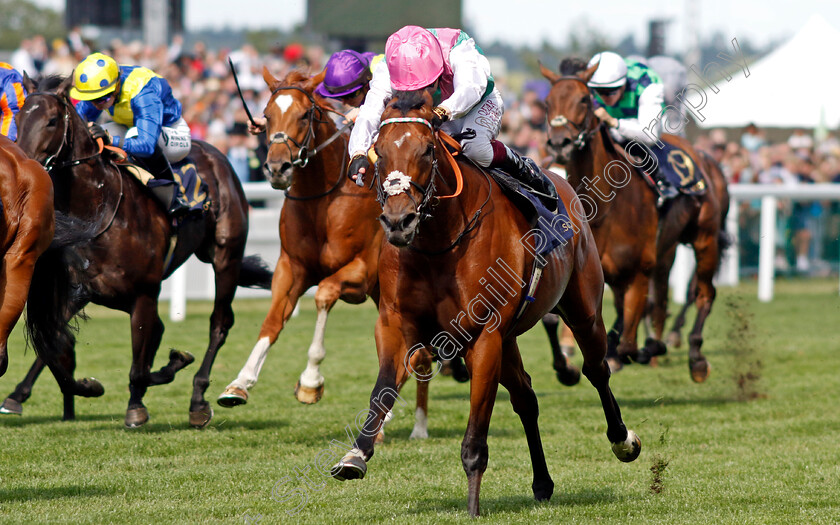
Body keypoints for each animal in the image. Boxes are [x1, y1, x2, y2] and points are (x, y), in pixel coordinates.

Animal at [2, 73, 272, 426]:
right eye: (18, 118)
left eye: (50, 121)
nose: (25, 166)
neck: (100, 210)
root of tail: (217, 155)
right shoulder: (77, 292)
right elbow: (55, 352)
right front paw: (77, 388)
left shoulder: (144, 293)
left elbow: (139, 364)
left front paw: (141, 400)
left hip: (225, 257)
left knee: (219, 323)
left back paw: (199, 400)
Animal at [213, 67, 436, 438]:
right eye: (267, 114)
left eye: (305, 115)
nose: (277, 168)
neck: (323, 200)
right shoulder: (291, 267)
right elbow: (273, 321)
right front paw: (239, 384)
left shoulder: (360, 273)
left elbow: (324, 295)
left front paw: (310, 381)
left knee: (418, 356)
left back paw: (415, 424)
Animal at [332, 89, 640, 516]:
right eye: (379, 151)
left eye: (428, 150)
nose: (398, 222)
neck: (438, 244)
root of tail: (562, 180)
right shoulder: (395, 325)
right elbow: (383, 390)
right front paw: (356, 455)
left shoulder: (483, 336)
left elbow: (475, 439)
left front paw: (473, 508)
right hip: (510, 341)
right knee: (526, 398)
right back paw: (542, 483)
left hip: (583, 311)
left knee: (596, 369)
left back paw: (623, 440)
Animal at [544, 62, 728, 380]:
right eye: (547, 101)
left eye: (584, 99)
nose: (559, 144)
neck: (603, 208)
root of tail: (705, 157)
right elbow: (556, 320)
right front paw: (568, 366)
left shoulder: (639, 271)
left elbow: (630, 344)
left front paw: (640, 350)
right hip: (665, 250)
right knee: (660, 298)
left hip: (705, 238)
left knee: (703, 293)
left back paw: (694, 355)